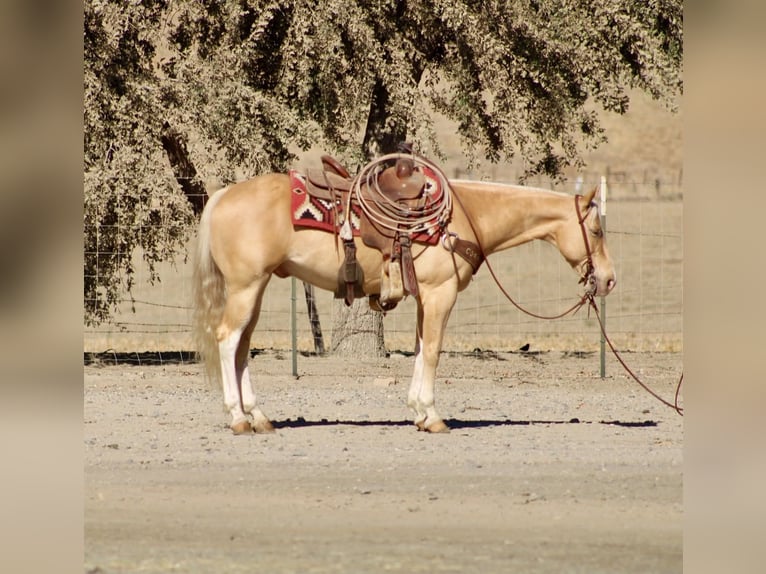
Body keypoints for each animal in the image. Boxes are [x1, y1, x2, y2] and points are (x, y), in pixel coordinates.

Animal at [192, 156, 616, 434]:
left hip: (256, 287)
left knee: (242, 346)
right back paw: (238, 419)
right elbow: (432, 351)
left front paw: (417, 411)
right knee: (228, 340)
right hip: (246, 287)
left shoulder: (425, 297)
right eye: (596, 230)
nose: (609, 280)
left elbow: (419, 348)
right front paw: (433, 415)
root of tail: (223, 195)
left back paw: (260, 418)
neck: (465, 217)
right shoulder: (441, 293)